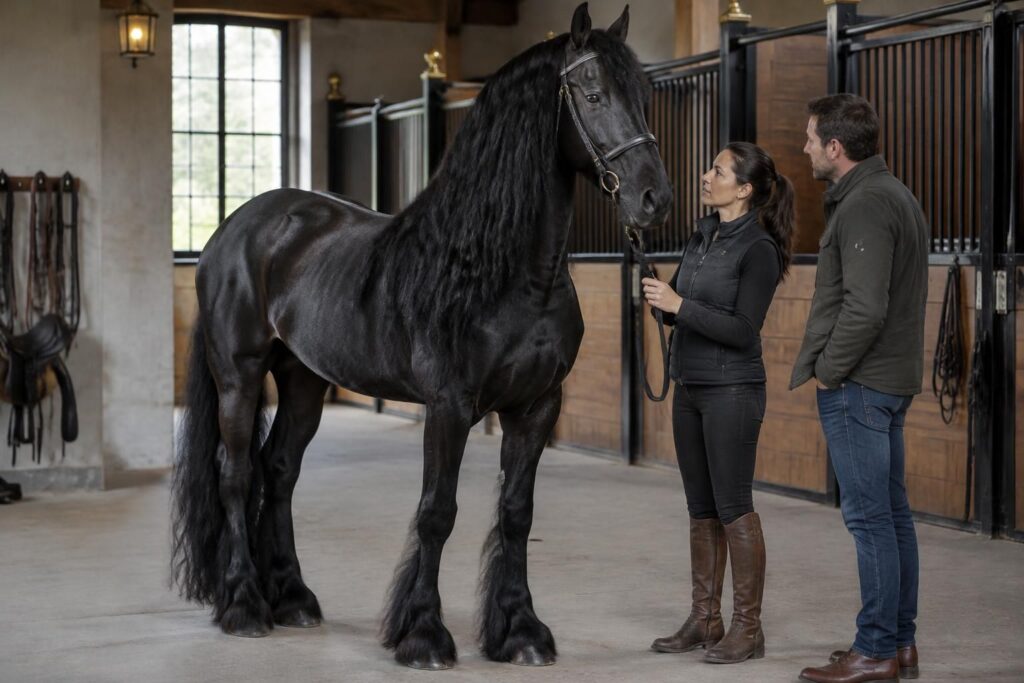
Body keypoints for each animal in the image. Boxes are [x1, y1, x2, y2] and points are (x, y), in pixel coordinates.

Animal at [171, 2, 671, 670]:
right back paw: (246, 606)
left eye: (643, 95)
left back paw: (294, 599)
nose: (654, 198)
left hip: (303, 381)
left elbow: (517, 513)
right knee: (236, 474)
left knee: (279, 470)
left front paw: (521, 632)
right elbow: (437, 513)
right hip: (239, 374)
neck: (504, 272)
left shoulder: (537, 406)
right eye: (592, 94)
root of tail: (234, 228)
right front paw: (424, 635)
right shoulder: (449, 407)